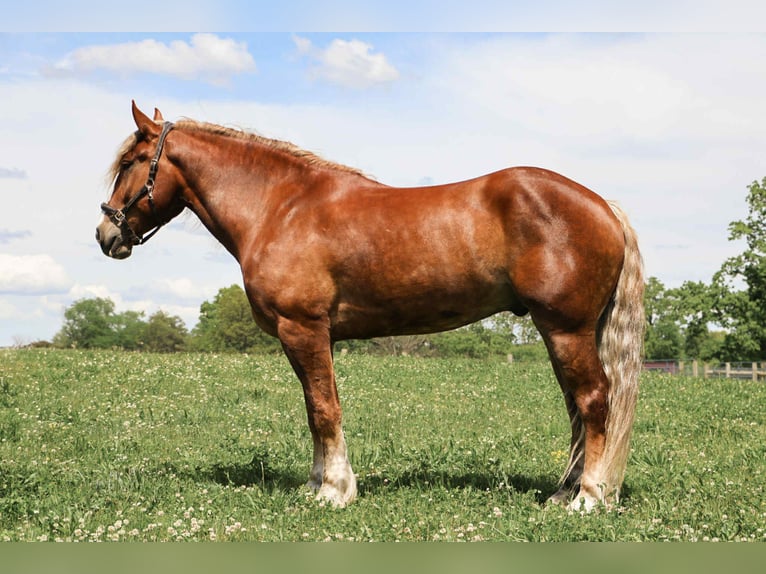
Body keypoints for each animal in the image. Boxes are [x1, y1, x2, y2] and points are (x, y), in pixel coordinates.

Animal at [96, 102, 644, 511]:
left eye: (129, 163)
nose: (106, 235)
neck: (280, 207)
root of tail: (603, 206)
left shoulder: (304, 330)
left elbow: (324, 409)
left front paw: (334, 491)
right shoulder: (308, 338)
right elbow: (314, 409)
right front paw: (316, 485)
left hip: (566, 329)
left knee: (594, 401)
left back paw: (588, 498)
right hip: (565, 333)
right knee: (577, 410)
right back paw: (564, 492)